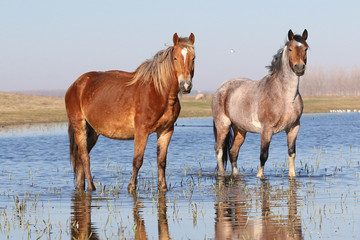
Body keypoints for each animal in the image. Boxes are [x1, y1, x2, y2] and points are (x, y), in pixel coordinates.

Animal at [63, 32, 195, 192]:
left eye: (193, 58)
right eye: (175, 58)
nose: (186, 86)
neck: (159, 92)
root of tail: (76, 84)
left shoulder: (166, 130)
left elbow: (161, 161)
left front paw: (163, 188)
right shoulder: (141, 131)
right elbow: (137, 160)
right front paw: (131, 187)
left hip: (93, 131)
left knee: (81, 159)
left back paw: (80, 187)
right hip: (79, 126)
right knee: (84, 157)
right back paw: (92, 187)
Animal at [212, 29, 308, 178]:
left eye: (306, 48)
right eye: (290, 49)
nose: (299, 68)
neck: (286, 98)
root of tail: (220, 88)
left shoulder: (293, 128)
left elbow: (291, 153)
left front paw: (292, 176)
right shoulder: (266, 130)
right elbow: (263, 155)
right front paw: (259, 176)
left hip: (240, 130)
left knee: (233, 152)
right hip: (223, 126)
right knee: (219, 149)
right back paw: (222, 174)